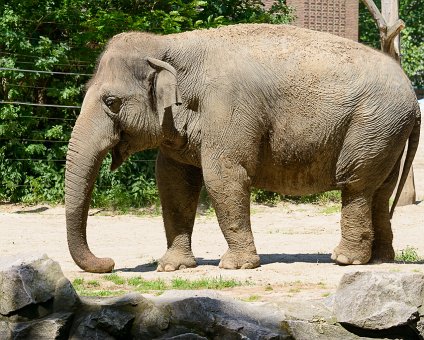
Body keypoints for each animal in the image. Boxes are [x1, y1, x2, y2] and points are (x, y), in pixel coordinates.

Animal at [64, 23, 420, 274]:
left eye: (111, 102)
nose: (109, 262)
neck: (170, 44)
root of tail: (413, 99)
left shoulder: (228, 107)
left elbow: (223, 176)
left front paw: (234, 266)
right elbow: (172, 182)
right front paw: (171, 267)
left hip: (372, 126)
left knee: (356, 185)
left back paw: (345, 260)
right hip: (388, 133)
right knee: (380, 192)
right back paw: (380, 260)